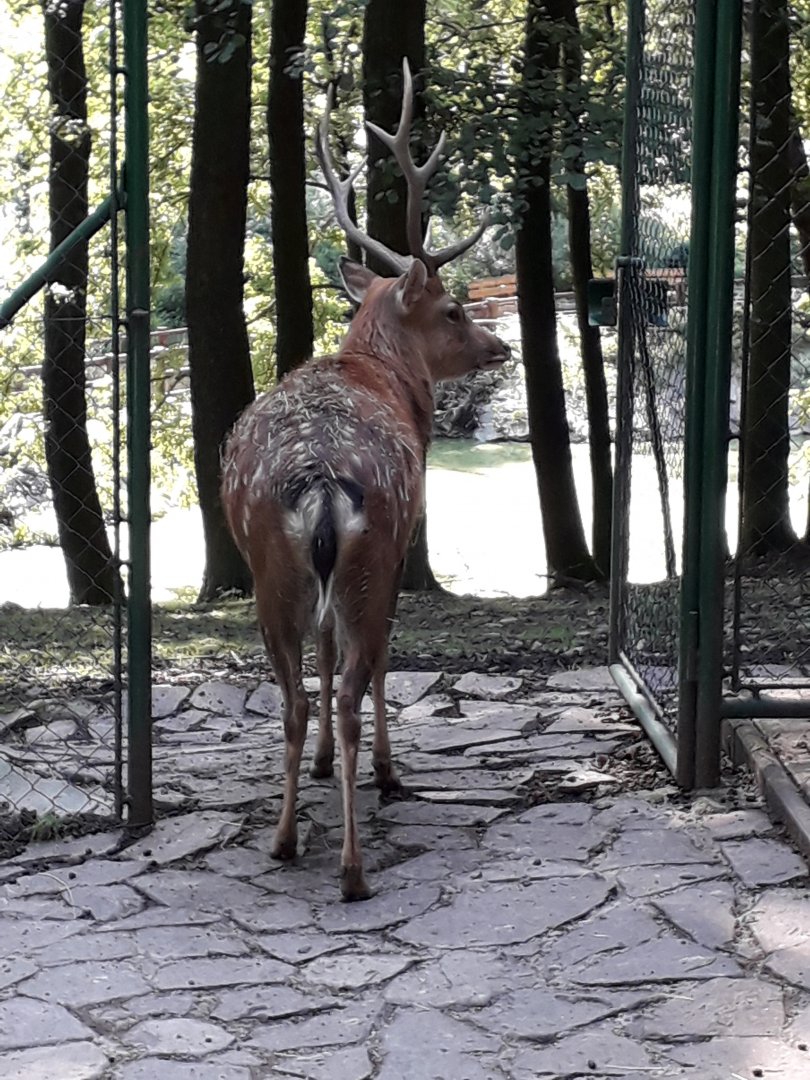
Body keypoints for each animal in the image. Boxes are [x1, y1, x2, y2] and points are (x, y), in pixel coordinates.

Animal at [220, 59, 509, 901]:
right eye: (453, 310)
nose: (501, 346)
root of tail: (320, 480)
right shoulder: (407, 539)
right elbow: (380, 661)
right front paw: (384, 769)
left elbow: (323, 651)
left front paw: (321, 770)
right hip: (374, 548)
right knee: (355, 681)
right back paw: (352, 861)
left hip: (270, 569)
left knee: (293, 693)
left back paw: (285, 837)